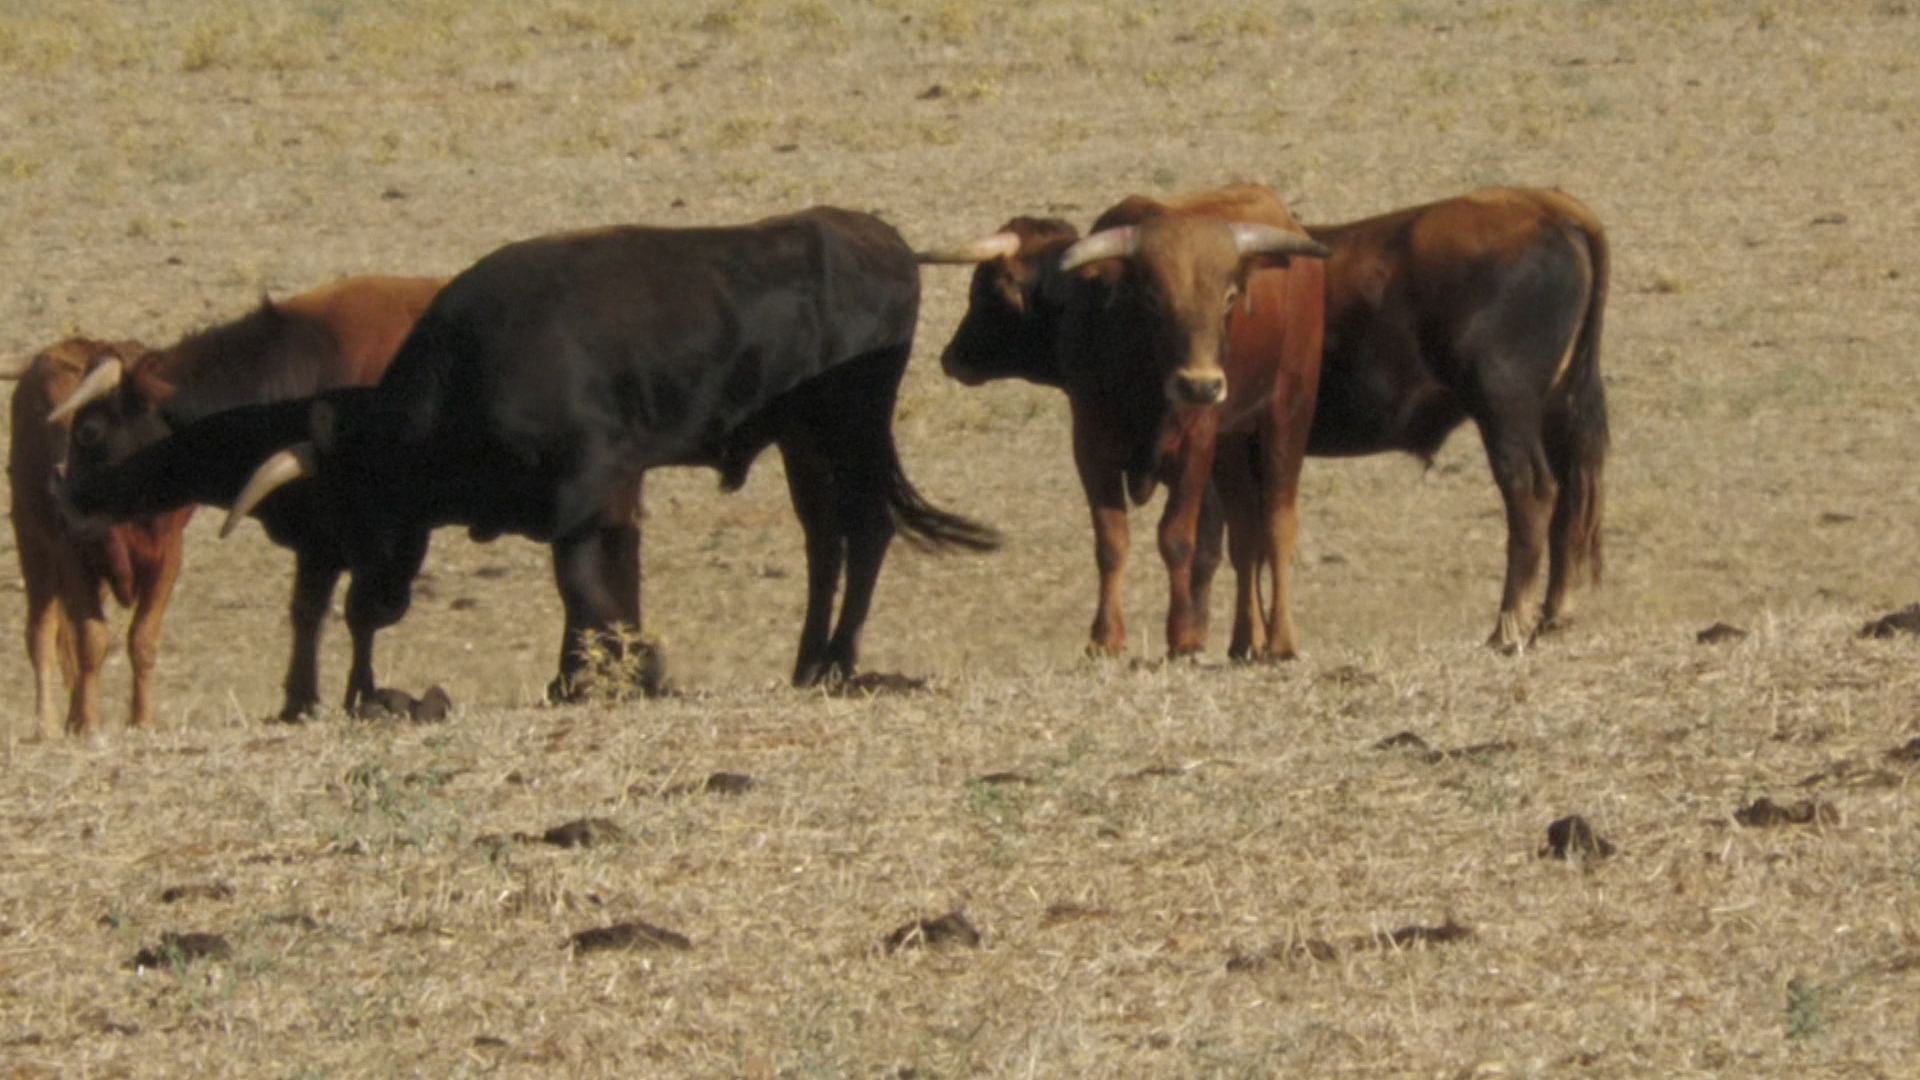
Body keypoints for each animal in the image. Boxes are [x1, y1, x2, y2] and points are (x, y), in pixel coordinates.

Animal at [3, 338, 192, 730]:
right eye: (47, 413)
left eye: (89, 429)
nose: (60, 479)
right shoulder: (72, 555)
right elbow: (90, 638)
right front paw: (89, 724)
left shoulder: (169, 553)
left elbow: (143, 638)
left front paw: (143, 719)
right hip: (32, 539)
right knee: (42, 633)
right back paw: (47, 724)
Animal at [67, 205, 998, 703]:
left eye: (94, 431)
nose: (67, 495)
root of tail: (880, 237)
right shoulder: (605, 502)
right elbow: (600, 589)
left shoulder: (587, 494)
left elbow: (586, 589)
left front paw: (617, 674)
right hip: (805, 443)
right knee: (826, 538)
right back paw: (809, 660)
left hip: (851, 430)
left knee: (866, 529)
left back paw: (836, 661)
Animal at [921, 184, 1328, 657]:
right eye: (1152, 298)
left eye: (1229, 298)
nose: (1201, 387)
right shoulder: (1091, 446)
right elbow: (1111, 540)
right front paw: (1105, 636)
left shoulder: (1196, 449)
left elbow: (1179, 539)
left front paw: (1183, 635)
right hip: (1232, 442)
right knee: (1245, 536)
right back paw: (1246, 639)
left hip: (1287, 413)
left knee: (1278, 525)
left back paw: (1280, 639)